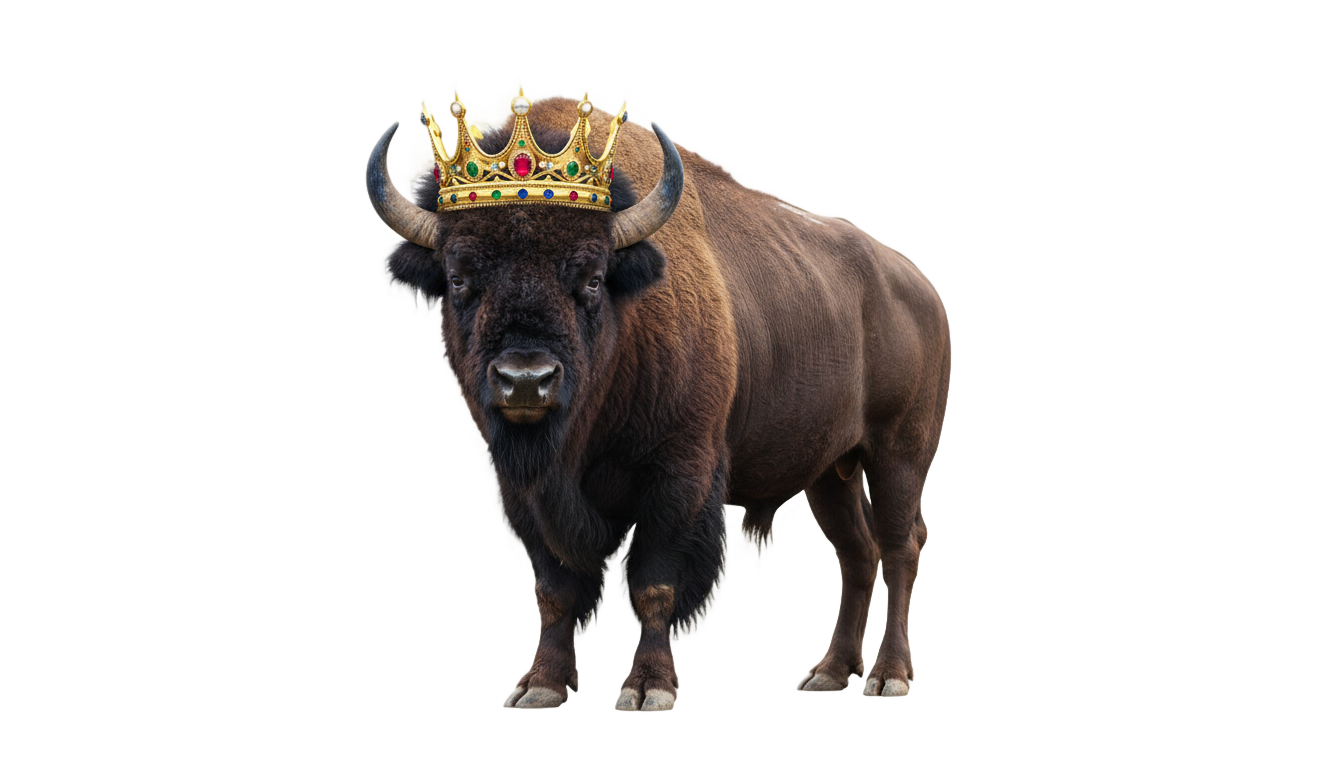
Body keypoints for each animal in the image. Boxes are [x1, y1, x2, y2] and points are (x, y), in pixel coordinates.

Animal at [364, 97, 950, 709]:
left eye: (593, 278)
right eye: (458, 278)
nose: (526, 380)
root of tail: (922, 292)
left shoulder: (679, 476)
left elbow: (654, 585)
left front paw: (648, 689)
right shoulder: (524, 489)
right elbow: (555, 588)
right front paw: (544, 687)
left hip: (898, 457)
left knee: (899, 549)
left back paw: (889, 678)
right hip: (831, 473)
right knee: (857, 554)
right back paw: (831, 674)